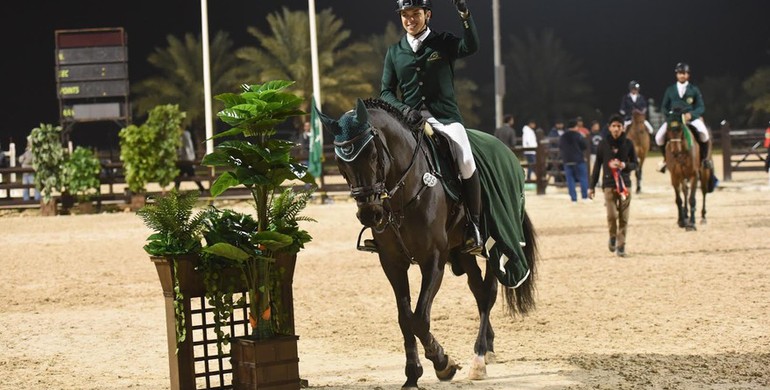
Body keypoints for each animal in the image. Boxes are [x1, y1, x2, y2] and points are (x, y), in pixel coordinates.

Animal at [316, 99, 536, 388]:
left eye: (373, 155)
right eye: (340, 162)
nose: (370, 214)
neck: (403, 191)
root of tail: (507, 152)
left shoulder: (433, 260)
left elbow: (419, 318)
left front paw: (443, 364)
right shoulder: (392, 263)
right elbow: (405, 318)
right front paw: (412, 374)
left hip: (495, 245)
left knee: (488, 294)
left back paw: (478, 358)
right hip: (462, 252)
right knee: (478, 291)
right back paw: (487, 349)